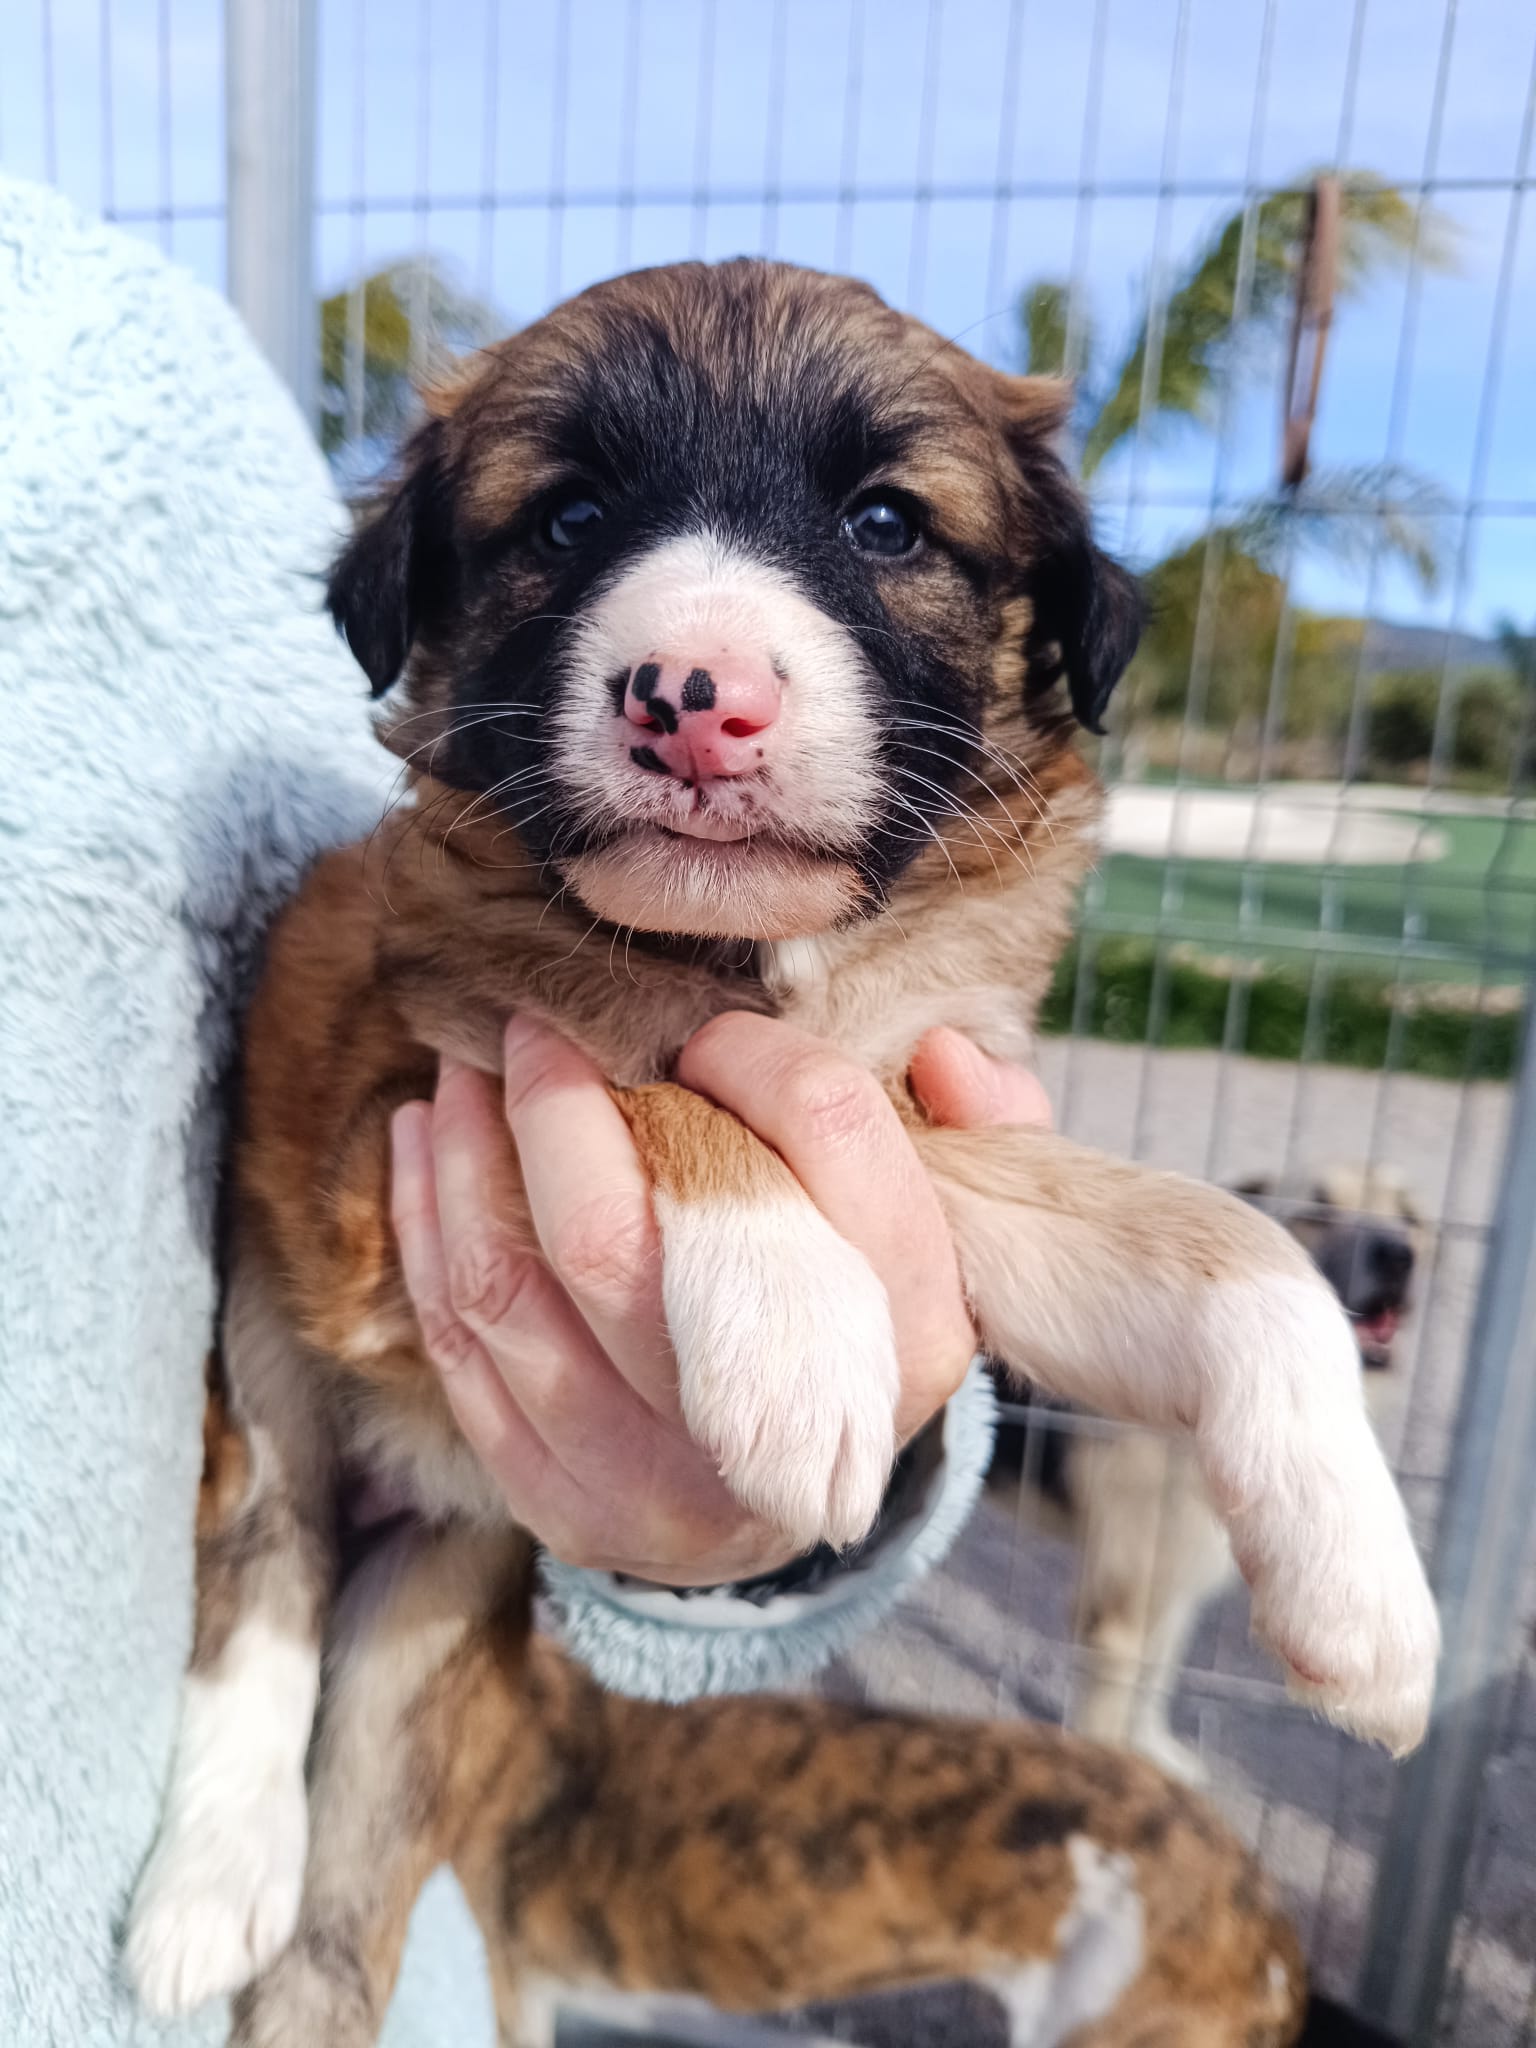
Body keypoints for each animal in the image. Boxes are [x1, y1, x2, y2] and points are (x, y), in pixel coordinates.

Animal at [989, 1166, 1424, 1782]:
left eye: (1410, 1215)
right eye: (1315, 1211)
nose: (1397, 1255)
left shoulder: (1177, 1583)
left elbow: (1159, 1674)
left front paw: (1152, 1751)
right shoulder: (1119, 1612)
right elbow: (1109, 1711)